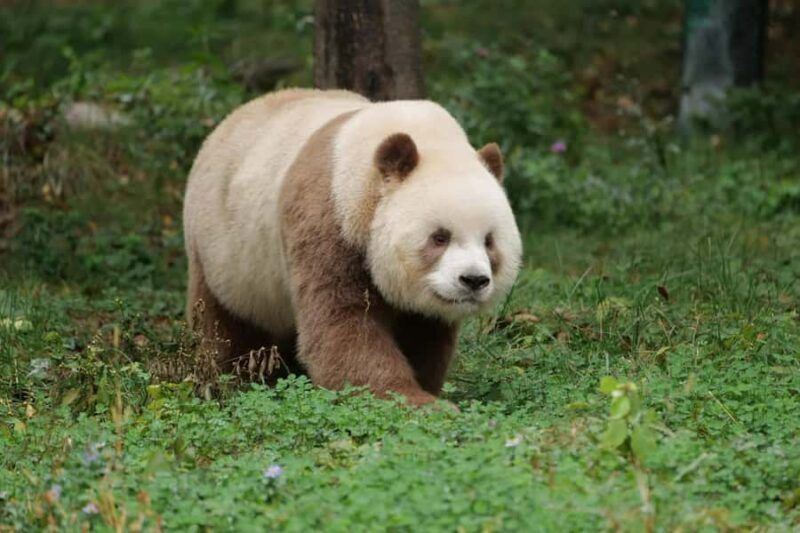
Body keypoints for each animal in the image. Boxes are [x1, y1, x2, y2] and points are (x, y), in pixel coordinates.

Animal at [183, 88, 522, 406]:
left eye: (489, 241)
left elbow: (424, 336)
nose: (473, 280)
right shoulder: (330, 219)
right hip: (224, 253)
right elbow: (344, 325)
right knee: (225, 327)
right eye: (440, 237)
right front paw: (417, 402)